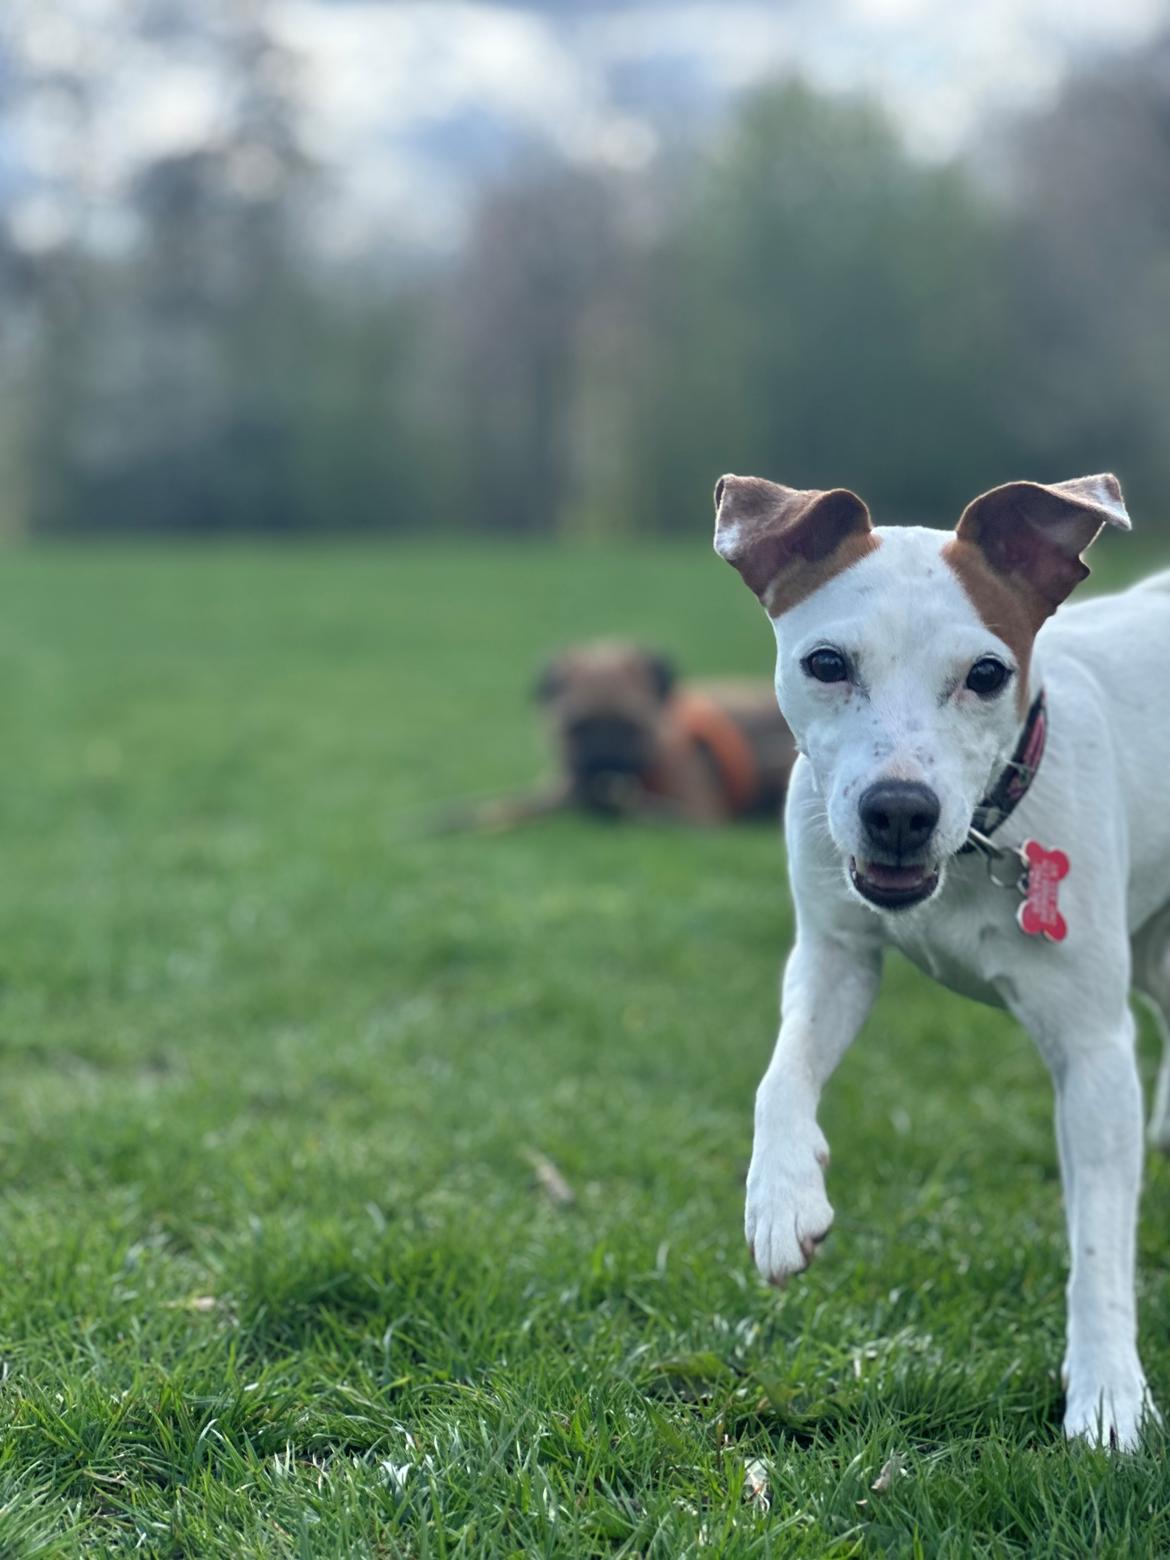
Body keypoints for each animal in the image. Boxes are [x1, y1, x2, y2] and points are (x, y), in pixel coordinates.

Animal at [439, 636, 798, 829]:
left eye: (630, 727)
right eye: (576, 728)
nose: (603, 759)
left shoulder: (695, 814)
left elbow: (638, 809)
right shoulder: (554, 791)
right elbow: (499, 807)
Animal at [714, 471, 1170, 1447]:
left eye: (987, 674)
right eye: (827, 663)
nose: (898, 810)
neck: (977, 850)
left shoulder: (1092, 1053)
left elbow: (1099, 1242)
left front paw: (1108, 1389)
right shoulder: (835, 955)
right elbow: (783, 1072)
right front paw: (781, 1196)